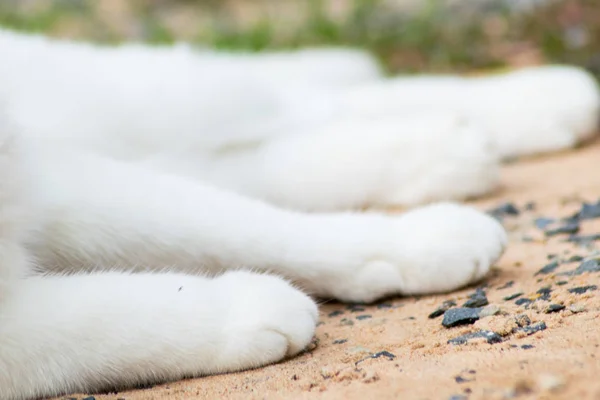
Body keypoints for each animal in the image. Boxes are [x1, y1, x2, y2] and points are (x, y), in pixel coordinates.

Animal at [0, 28, 596, 400]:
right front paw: (242, 310)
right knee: (245, 156)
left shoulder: (55, 183)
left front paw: (412, 240)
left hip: (123, 107)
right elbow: (90, 322)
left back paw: (531, 103)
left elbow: (234, 225)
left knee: (285, 105)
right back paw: (447, 148)